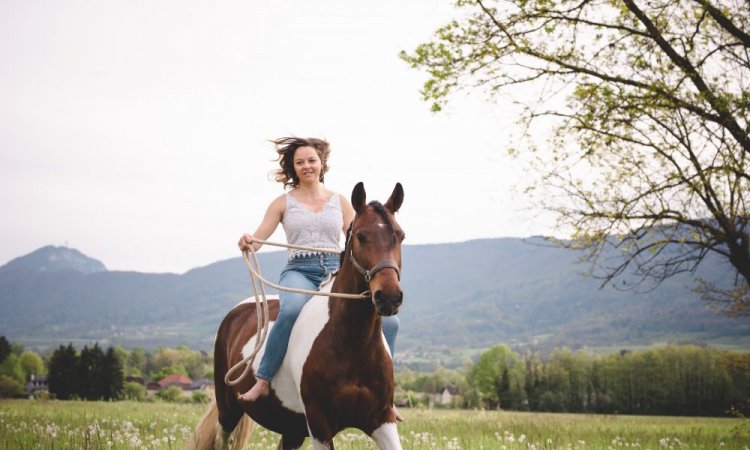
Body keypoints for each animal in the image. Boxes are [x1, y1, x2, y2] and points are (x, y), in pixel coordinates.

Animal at [186, 181, 408, 448]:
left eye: (401, 236)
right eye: (361, 236)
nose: (389, 297)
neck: (352, 343)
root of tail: (237, 312)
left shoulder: (382, 419)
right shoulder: (319, 424)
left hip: (291, 428)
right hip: (228, 409)